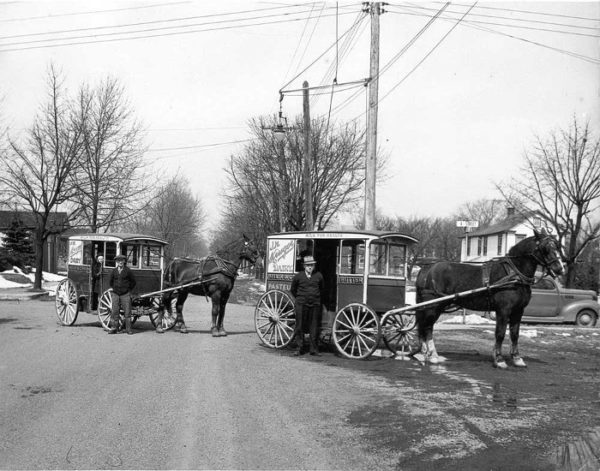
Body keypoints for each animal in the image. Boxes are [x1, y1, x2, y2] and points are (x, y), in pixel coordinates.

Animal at [414, 230, 564, 370]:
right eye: (545, 248)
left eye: (557, 246)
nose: (559, 268)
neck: (514, 274)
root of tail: (427, 268)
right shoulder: (503, 310)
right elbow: (500, 333)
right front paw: (499, 359)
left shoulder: (518, 311)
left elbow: (515, 334)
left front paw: (517, 358)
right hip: (433, 306)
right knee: (427, 327)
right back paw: (433, 355)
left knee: (425, 326)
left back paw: (426, 352)